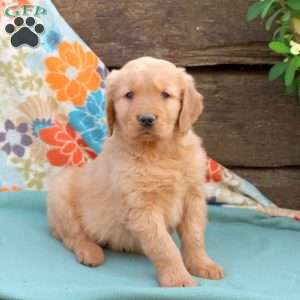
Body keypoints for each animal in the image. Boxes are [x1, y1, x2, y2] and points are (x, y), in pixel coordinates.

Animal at [48, 55, 224, 288]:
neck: (158, 153)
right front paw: (177, 278)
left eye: (165, 94)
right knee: (72, 236)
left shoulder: (192, 197)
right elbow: (164, 246)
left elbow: (194, 236)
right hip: (60, 195)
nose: (147, 119)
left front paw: (202, 264)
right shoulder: (141, 206)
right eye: (129, 94)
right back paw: (90, 252)